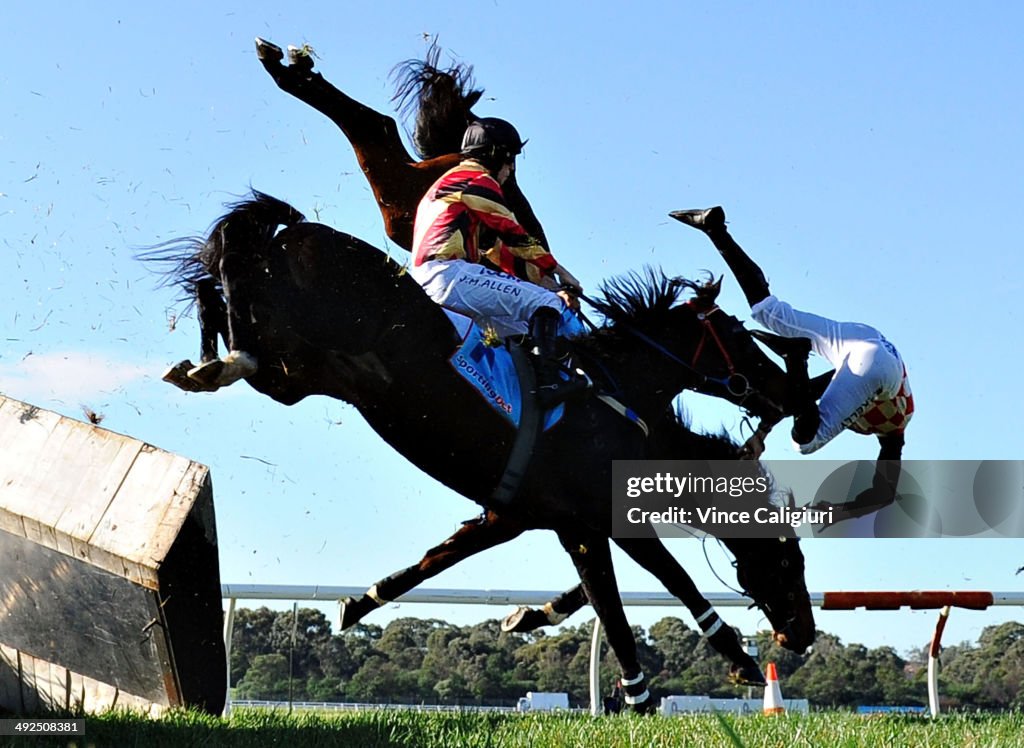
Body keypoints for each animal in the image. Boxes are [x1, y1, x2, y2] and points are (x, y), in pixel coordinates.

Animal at [155, 190, 815, 704]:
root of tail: (298, 232)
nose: (801, 636)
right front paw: (676, 682)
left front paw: (359, 603)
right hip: (297, 342)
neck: (615, 391)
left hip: (297, 370)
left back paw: (206, 353)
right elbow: (650, 587)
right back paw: (221, 357)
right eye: (788, 558)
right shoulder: (589, 518)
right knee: (233, 281)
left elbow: (438, 559)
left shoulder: (514, 513)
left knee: (221, 286)